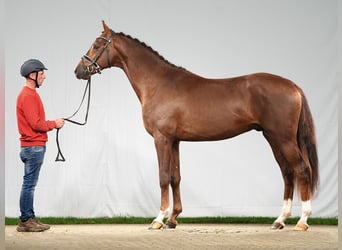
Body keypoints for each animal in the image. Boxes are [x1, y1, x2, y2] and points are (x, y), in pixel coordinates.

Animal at [74, 21, 318, 230]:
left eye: (96, 45)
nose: (78, 71)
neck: (158, 83)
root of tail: (293, 86)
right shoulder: (175, 141)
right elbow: (175, 177)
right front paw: (173, 219)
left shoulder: (161, 139)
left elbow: (163, 177)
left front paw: (159, 219)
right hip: (272, 137)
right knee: (287, 172)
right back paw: (280, 220)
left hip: (283, 138)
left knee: (302, 169)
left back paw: (302, 221)